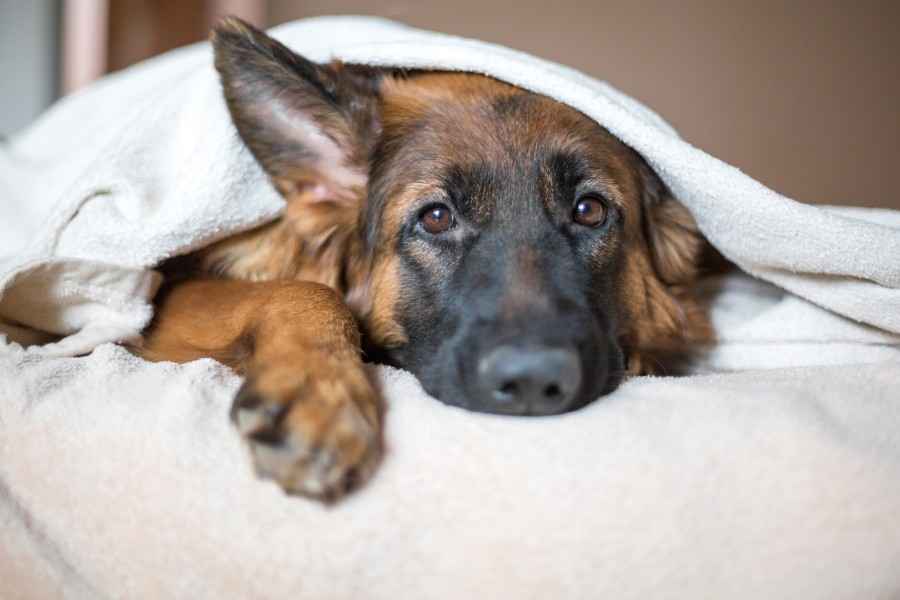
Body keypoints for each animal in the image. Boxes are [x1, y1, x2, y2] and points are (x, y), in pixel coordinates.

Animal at [137, 16, 712, 500]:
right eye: (436, 218)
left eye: (590, 210)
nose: (532, 382)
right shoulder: (165, 301)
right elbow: (306, 289)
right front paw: (318, 392)